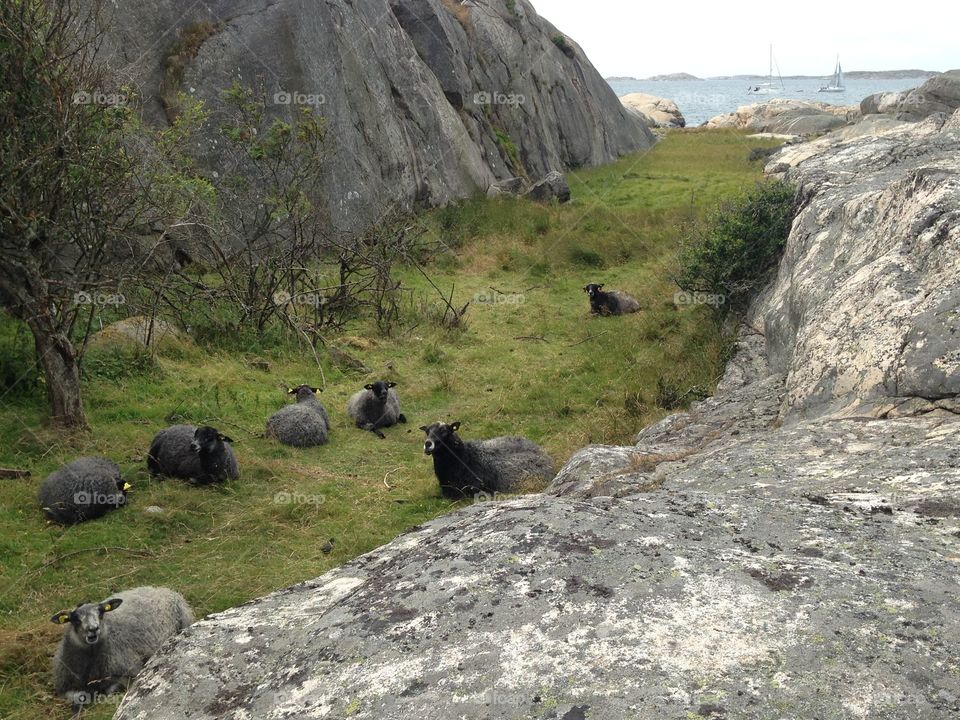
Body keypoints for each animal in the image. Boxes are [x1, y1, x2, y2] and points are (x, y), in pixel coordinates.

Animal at [51, 586, 193, 711]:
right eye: (75, 619)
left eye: (101, 613)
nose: (93, 629)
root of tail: (161, 589)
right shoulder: (65, 686)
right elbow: (78, 697)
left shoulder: (128, 673)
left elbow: (110, 690)